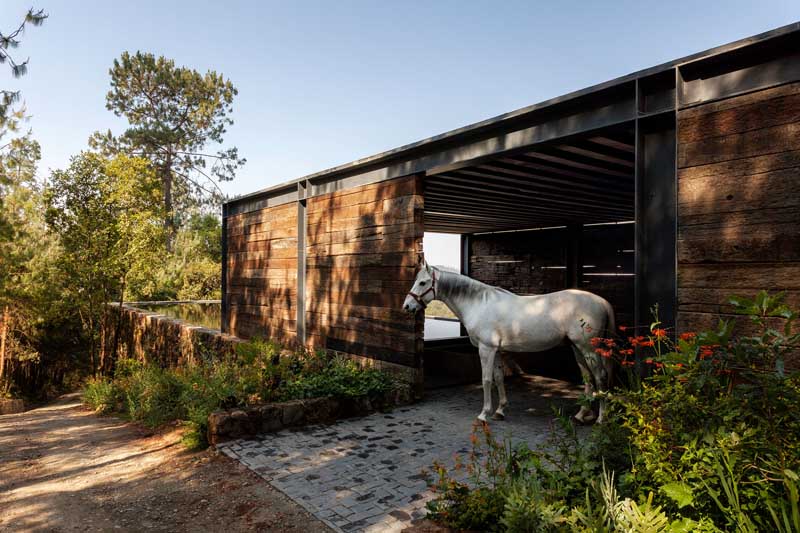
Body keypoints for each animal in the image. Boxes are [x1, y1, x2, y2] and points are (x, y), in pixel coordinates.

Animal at [404, 262, 616, 424]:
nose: (407, 306)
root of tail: (602, 301)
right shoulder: (497, 350)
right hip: (577, 348)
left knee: (600, 377)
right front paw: (499, 411)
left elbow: (486, 380)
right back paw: (581, 415)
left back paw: (601, 419)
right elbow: (498, 378)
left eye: (422, 282)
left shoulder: (486, 349)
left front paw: (483, 414)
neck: (478, 304)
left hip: (589, 349)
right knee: (588, 378)